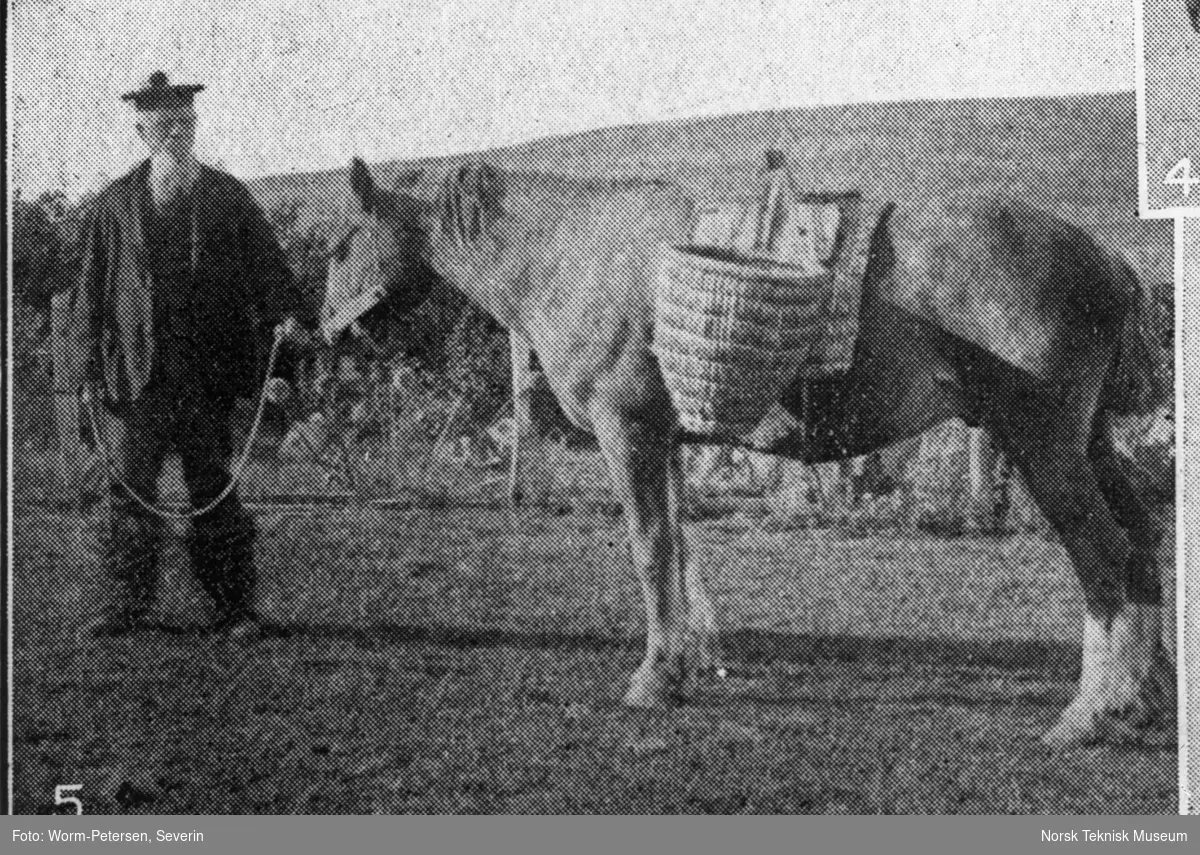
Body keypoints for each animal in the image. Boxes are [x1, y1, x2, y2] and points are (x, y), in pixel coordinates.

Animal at [321, 154, 1171, 749]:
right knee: (1140, 539)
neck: (568, 252)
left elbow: (648, 548)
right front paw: (686, 662)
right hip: (1090, 440)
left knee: (1101, 551)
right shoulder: (665, 437)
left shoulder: (627, 430)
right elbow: (676, 547)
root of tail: (1107, 260)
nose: (325, 330)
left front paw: (653, 677)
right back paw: (1144, 693)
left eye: (337, 245)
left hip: (1043, 442)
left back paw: (1090, 711)